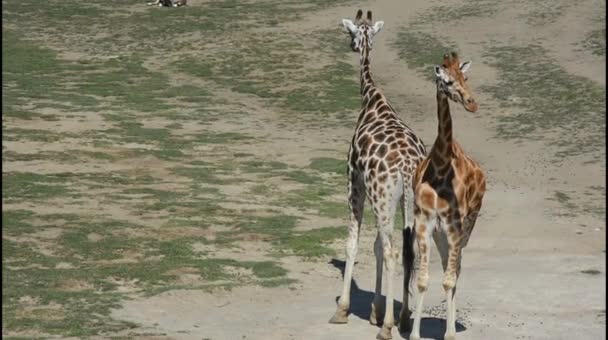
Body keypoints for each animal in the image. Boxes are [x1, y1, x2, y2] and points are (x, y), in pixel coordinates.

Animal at [330, 9, 426, 338]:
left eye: (350, 32)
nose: (351, 46)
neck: (372, 100)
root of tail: (408, 166)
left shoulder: (354, 183)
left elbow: (354, 243)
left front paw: (343, 311)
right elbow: (376, 248)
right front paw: (374, 310)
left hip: (383, 198)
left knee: (395, 251)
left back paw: (387, 328)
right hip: (411, 204)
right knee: (411, 252)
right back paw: (405, 319)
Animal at [408, 51, 490, 340]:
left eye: (465, 78)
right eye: (447, 81)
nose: (472, 104)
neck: (441, 167)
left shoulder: (455, 226)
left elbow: (449, 278)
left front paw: (450, 334)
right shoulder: (425, 223)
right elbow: (423, 281)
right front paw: (414, 334)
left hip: (466, 227)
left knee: (456, 269)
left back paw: (452, 329)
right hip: (441, 234)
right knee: (448, 266)